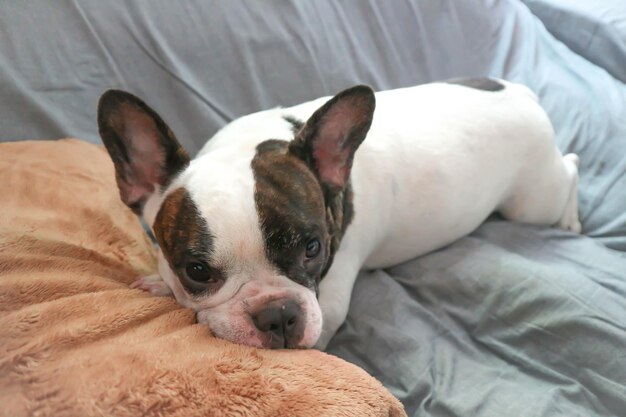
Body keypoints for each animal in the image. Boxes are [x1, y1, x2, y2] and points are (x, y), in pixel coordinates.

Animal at [97, 77, 580, 348]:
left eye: (314, 248)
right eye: (196, 271)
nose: (278, 314)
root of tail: (521, 92)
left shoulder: (325, 307)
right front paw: (159, 283)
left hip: (532, 202)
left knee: (571, 167)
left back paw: (571, 219)